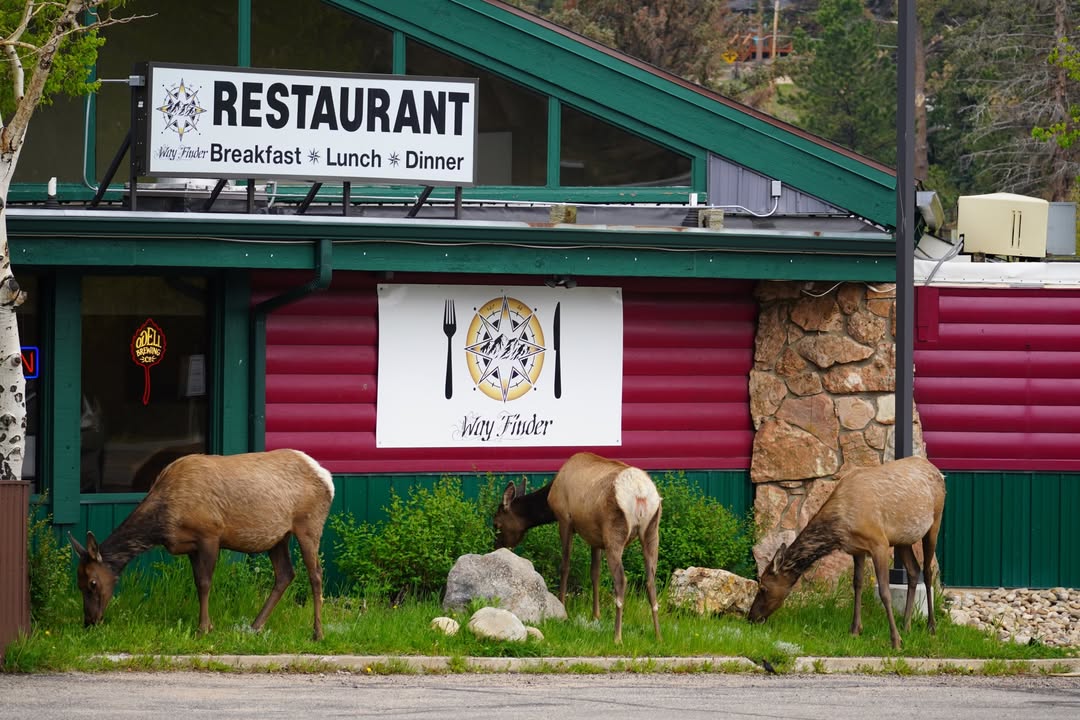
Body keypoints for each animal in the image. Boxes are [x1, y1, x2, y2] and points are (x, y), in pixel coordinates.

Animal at [68, 449, 335, 640]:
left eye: (92, 583)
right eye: (78, 583)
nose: (89, 622)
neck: (165, 521)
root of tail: (328, 479)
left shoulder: (210, 533)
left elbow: (205, 583)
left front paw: (203, 629)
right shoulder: (191, 545)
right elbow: (198, 583)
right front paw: (208, 626)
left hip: (308, 524)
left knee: (316, 574)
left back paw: (317, 633)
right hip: (278, 536)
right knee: (285, 573)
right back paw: (254, 626)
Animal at [493, 452, 662, 644]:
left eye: (496, 524)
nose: (496, 546)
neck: (548, 502)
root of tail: (640, 494)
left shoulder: (564, 519)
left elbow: (565, 566)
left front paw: (562, 608)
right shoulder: (595, 536)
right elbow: (595, 573)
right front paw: (596, 615)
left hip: (615, 533)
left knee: (621, 580)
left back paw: (617, 637)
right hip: (651, 531)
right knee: (651, 581)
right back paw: (658, 635)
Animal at [748, 455, 946, 649]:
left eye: (763, 587)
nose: (751, 617)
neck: (841, 527)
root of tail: (939, 472)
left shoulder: (879, 543)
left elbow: (884, 592)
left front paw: (895, 641)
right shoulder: (857, 549)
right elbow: (857, 584)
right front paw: (855, 630)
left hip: (935, 523)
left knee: (928, 571)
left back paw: (931, 627)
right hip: (902, 539)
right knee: (913, 570)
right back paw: (906, 625)